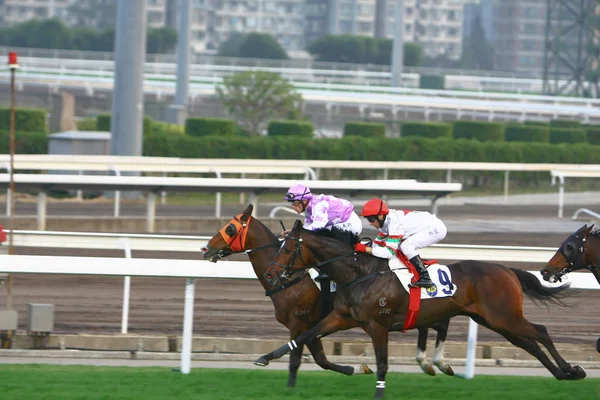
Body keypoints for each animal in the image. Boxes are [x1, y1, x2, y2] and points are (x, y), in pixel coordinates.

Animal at [200, 205, 450, 386]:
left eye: (230, 229)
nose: (206, 249)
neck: (290, 279)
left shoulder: (299, 321)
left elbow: (297, 359)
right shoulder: (312, 324)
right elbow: (320, 359)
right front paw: (357, 368)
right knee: (430, 323)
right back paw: (430, 363)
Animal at [256, 220, 584, 398]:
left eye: (288, 248)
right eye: (279, 246)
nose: (271, 275)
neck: (358, 272)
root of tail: (506, 269)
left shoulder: (377, 326)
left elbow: (383, 364)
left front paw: (378, 392)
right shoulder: (341, 317)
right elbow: (304, 335)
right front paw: (264, 358)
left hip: (504, 317)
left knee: (541, 332)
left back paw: (573, 369)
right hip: (497, 321)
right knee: (531, 344)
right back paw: (562, 374)